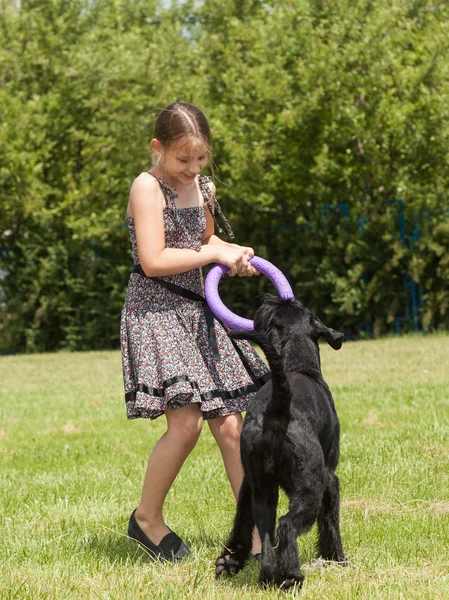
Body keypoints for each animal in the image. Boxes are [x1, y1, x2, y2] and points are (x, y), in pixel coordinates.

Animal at [215, 296, 344, 592]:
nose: (277, 298)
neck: (296, 366)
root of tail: (277, 409)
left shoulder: (248, 483)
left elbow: (242, 518)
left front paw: (231, 559)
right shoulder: (330, 478)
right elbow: (331, 521)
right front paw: (338, 559)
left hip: (264, 490)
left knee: (266, 531)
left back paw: (267, 576)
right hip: (309, 488)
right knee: (286, 526)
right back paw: (291, 576)